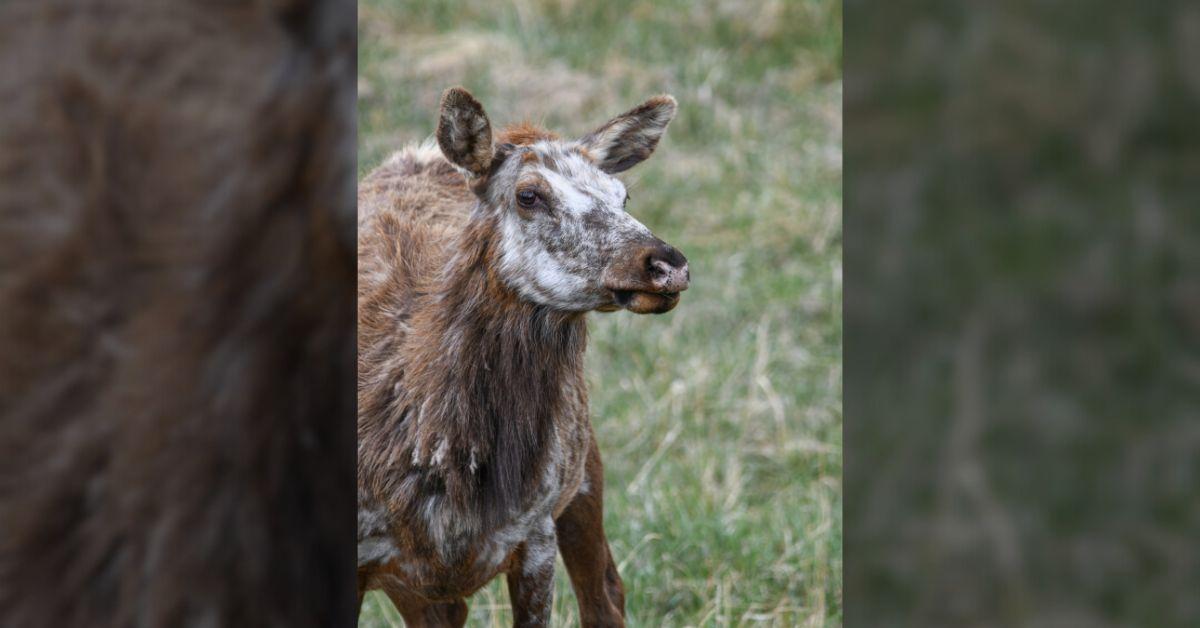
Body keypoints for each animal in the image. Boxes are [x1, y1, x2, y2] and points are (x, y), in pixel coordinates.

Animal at [357, 86, 689, 626]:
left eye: (623, 195)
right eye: (528, 195)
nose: (666, 265)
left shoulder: (535, 531)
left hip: (583, 473)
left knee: (607, 595)